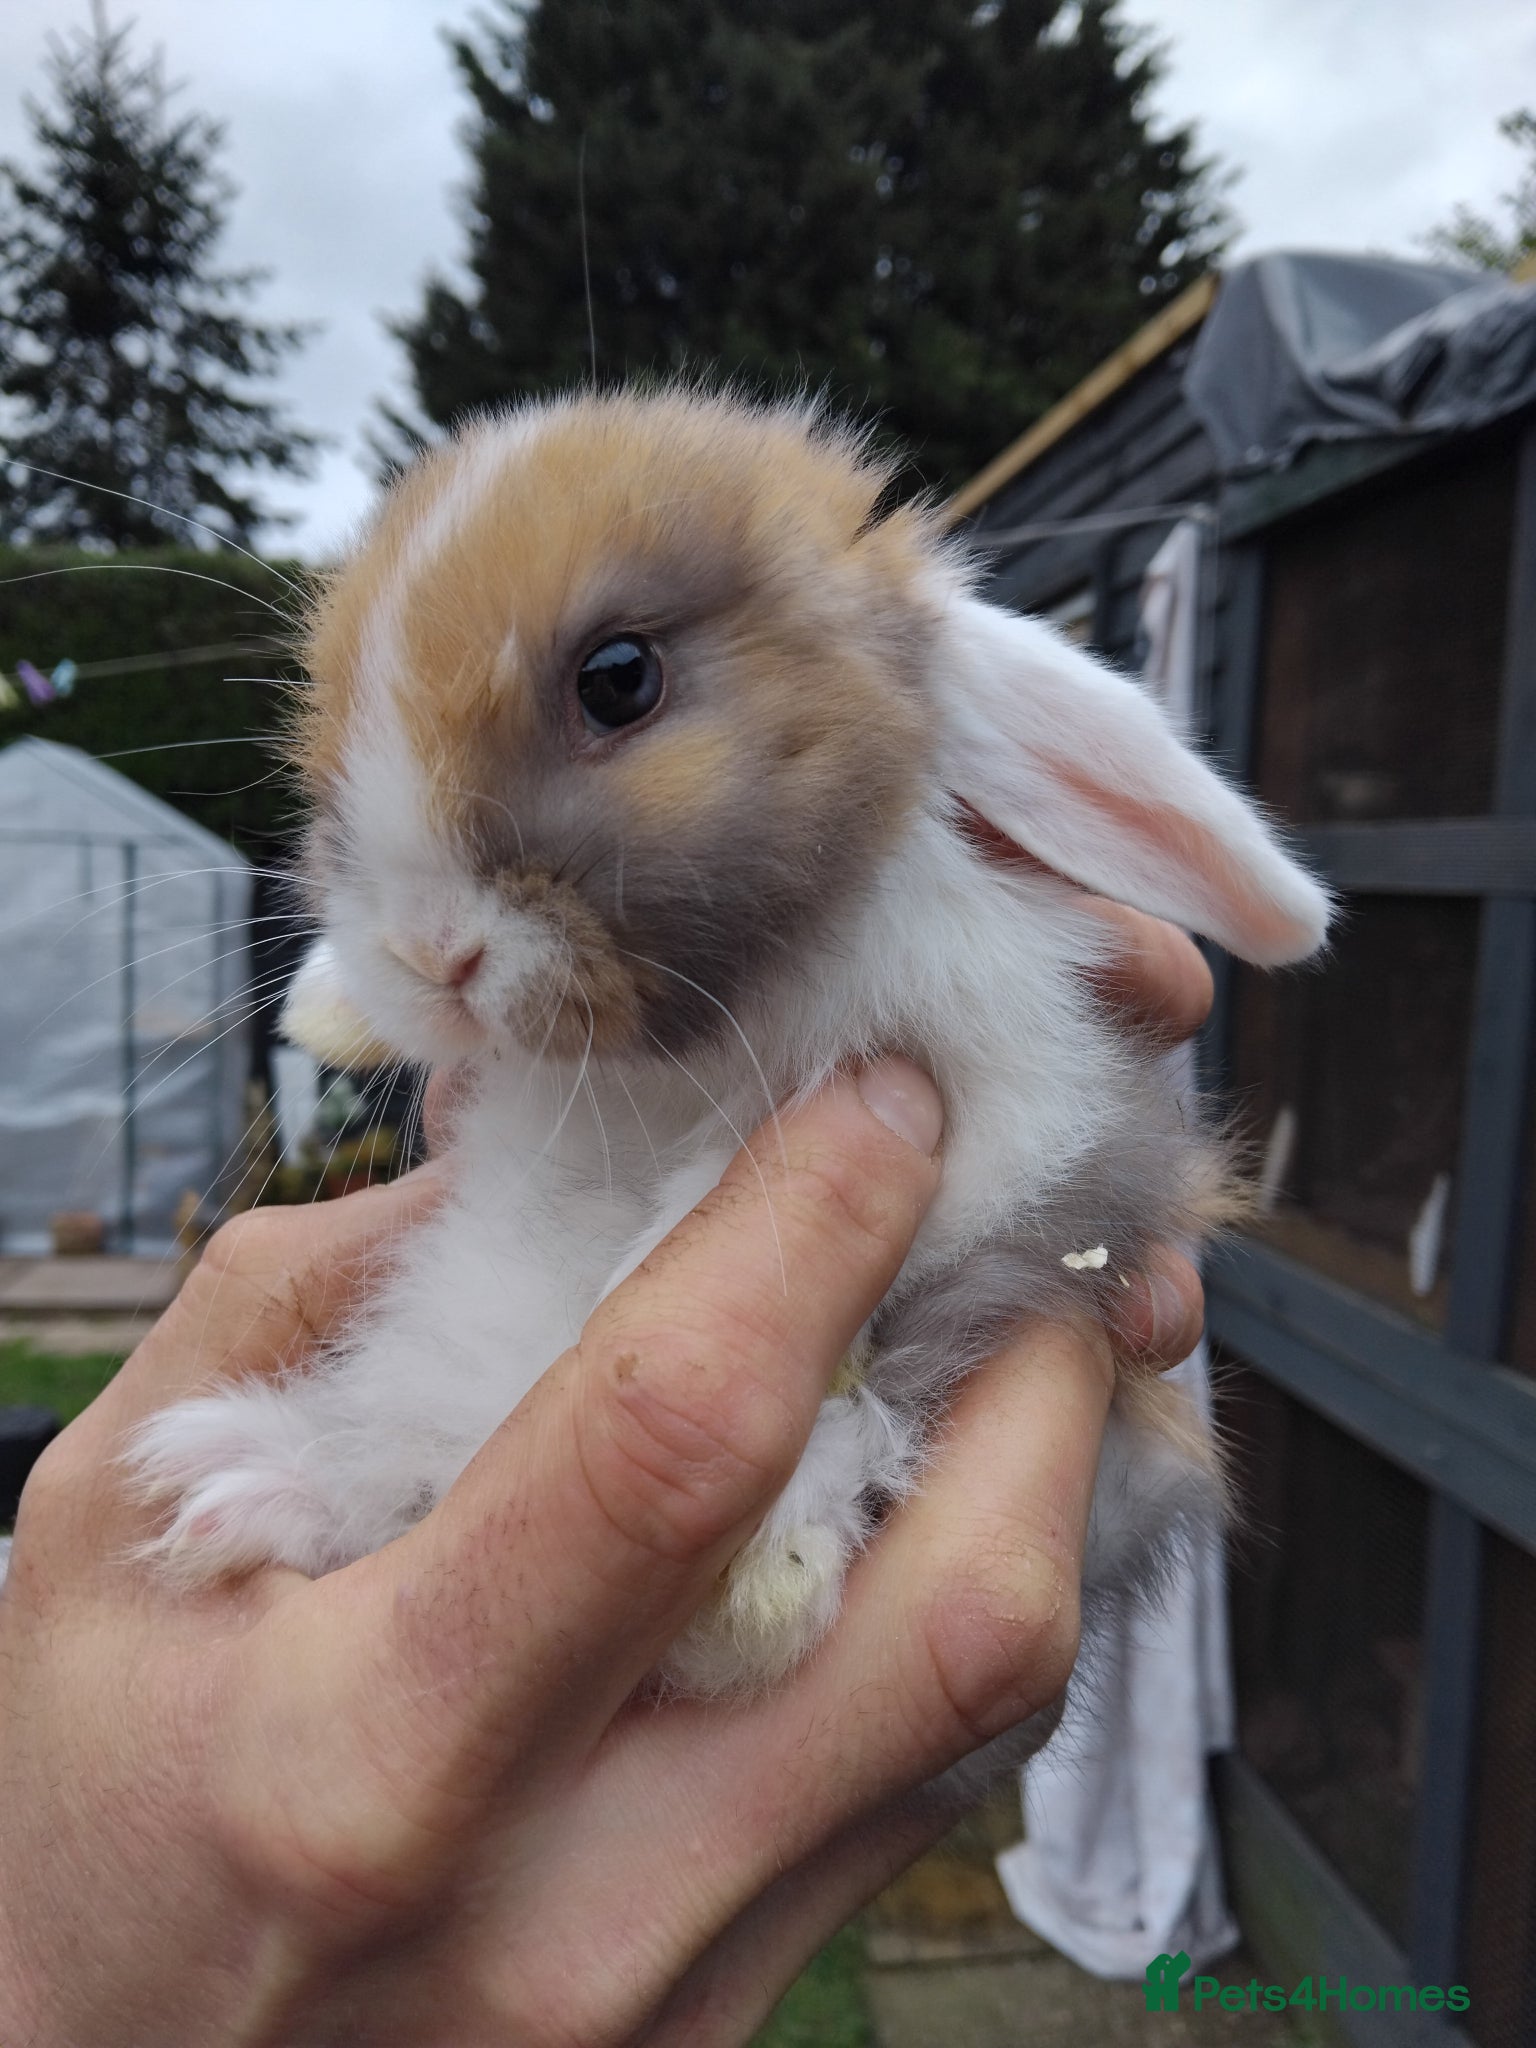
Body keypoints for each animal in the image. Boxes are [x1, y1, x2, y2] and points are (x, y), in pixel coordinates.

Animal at [130, 387, 1330, 1698]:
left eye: (619, 677)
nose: (428, 950)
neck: (674, 1052)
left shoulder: (1008, 1097)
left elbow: (799, 1192)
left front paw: (630, 1290)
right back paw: (236, 1482)